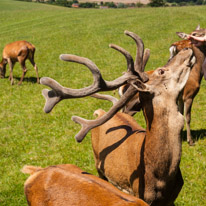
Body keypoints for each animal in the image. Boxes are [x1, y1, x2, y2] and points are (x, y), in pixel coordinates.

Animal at [39, 31, 196, 206]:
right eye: (161, 71)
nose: (187, 48)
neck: (160, 175)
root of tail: (100, 112)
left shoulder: (171, 199)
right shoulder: (139, 193)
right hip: (98, 163)